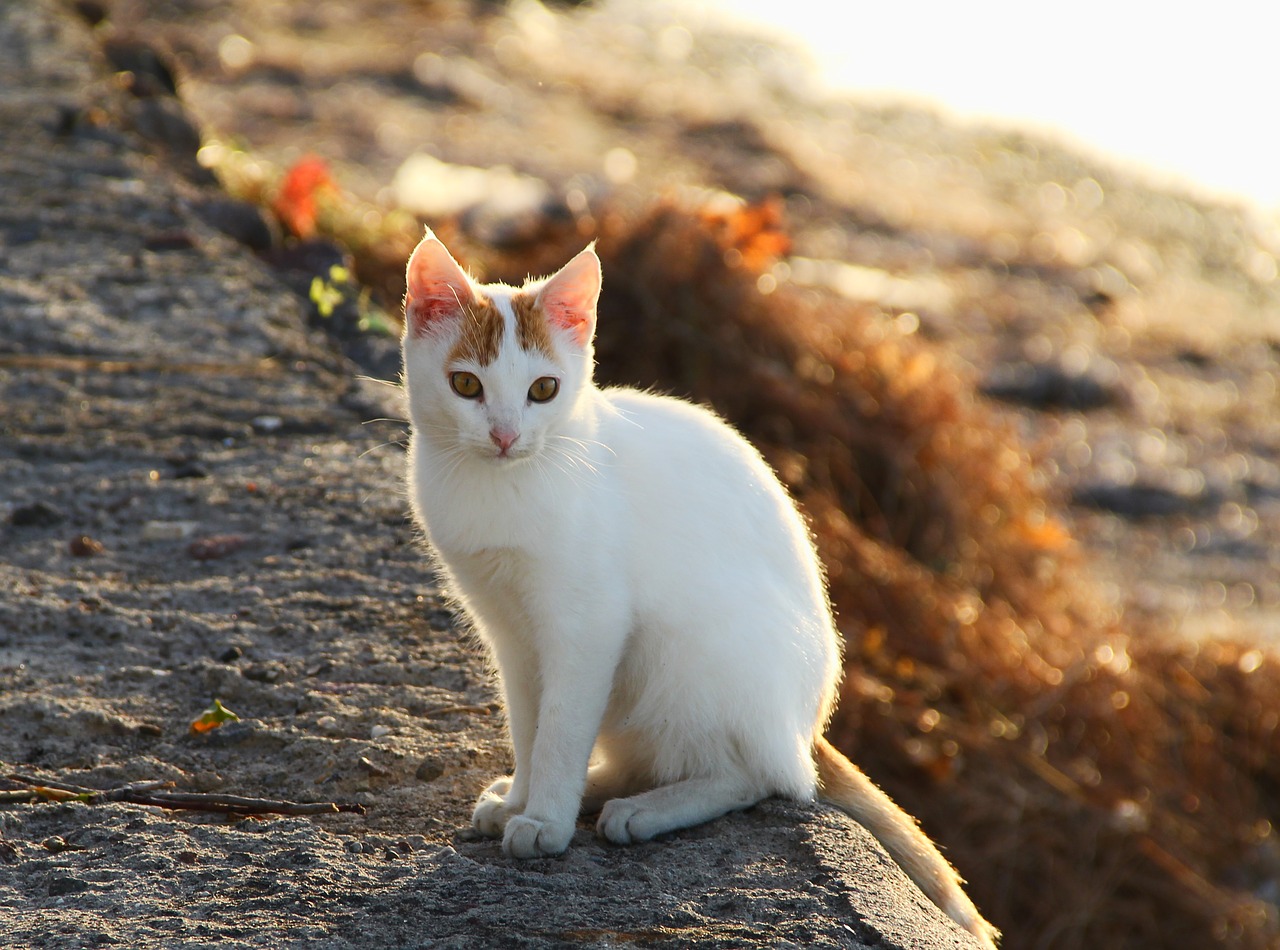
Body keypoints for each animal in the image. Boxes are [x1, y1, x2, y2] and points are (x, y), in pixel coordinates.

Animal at [399, 230, 998, 950]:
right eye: (466, 384)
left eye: (544, 389)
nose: (505, 435)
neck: (505, 487)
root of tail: (806, 728)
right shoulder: (510, 634)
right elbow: (530, 723)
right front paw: (523, 798)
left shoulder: (589, 625)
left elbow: (563, 728)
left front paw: (544, 820)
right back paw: (603, 787)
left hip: (690, 653)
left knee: (762, 777)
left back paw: (647, 810)